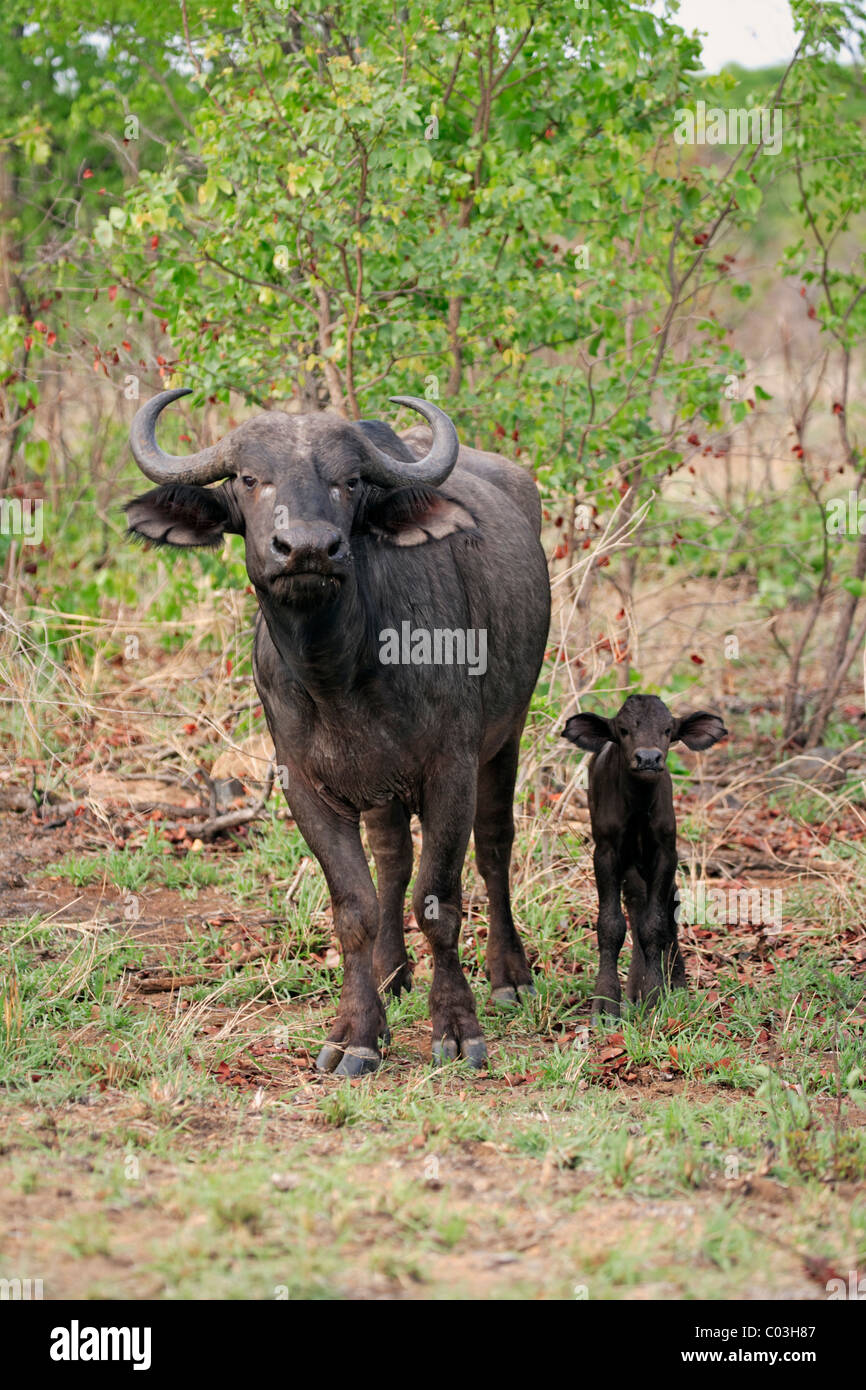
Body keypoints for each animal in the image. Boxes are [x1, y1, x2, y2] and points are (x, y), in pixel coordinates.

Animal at [125, 389, 547, 1073]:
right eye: (250, 478)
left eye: (349, 482)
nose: (307, 549)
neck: (342, 673)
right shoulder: (307, 786)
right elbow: (356, 906)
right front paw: (356, 1032)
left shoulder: (451, 770)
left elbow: (439, 900)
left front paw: (456, 1028)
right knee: (393, 859)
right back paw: (390, 974)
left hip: (508, 734)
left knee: (493, 847)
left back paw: (510, 973)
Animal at [558, 700, 728, 1017]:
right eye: (623, 729)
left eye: (668, 729)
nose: (648, 758)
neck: (637, 806)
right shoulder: (606, 852)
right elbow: (611, 924)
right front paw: (606, 1003)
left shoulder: (665, 853)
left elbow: (656, 924)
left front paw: (656, 995)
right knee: (635, 903)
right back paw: (635, 987)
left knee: (664, 906)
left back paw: (673, 983)